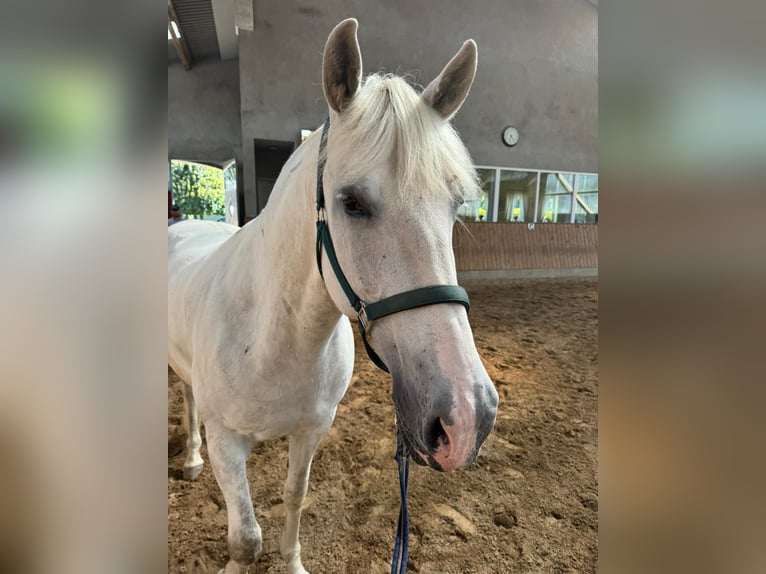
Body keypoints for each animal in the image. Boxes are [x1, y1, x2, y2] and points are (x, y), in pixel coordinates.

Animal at [170, 18, 498, 574]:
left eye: (456, 204)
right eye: (352, 202)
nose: (466, 415)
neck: (272, 338)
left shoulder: (311, 432)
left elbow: (294, 497)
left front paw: (293, 562)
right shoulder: (227, 442)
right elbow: (245, 539)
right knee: (188, 401)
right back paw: (190, 458)